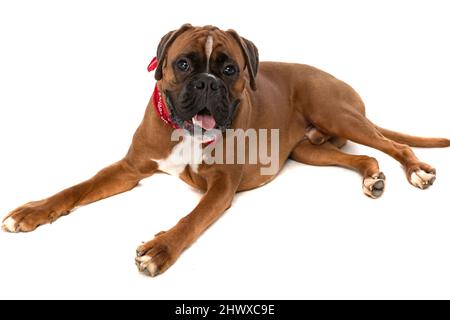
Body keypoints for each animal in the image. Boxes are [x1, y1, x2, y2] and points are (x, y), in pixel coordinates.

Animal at [1, 24, 448, 278]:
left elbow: (191, 219)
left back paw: (417, 171)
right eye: (183, 64)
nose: (207, 83)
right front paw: (32, 211)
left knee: (393, 144)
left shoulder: (219, 187)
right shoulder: (128, 168)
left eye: (229, 69)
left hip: (339, 116)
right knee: (364, 156)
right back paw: (373, 178)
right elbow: (76, 188)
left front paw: (160, 249)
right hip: (310, 151)